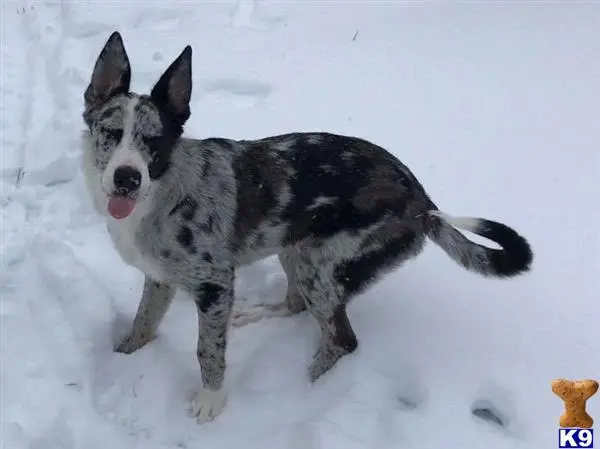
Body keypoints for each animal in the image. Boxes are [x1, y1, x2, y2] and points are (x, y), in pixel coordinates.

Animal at [81, 32, 536, 424]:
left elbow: (207, 350)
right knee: (296, 304)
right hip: (295, 249)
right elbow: (143, 322)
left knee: (342, 339)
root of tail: (423, 202)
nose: (126, 178)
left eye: (153, 142)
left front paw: (211, 401)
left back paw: (305, 395)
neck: (162, 193)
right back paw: (258, 315)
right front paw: (123, 357)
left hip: (322, 268)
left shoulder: (214, 285)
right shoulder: (160, 278)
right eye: (110, 133)